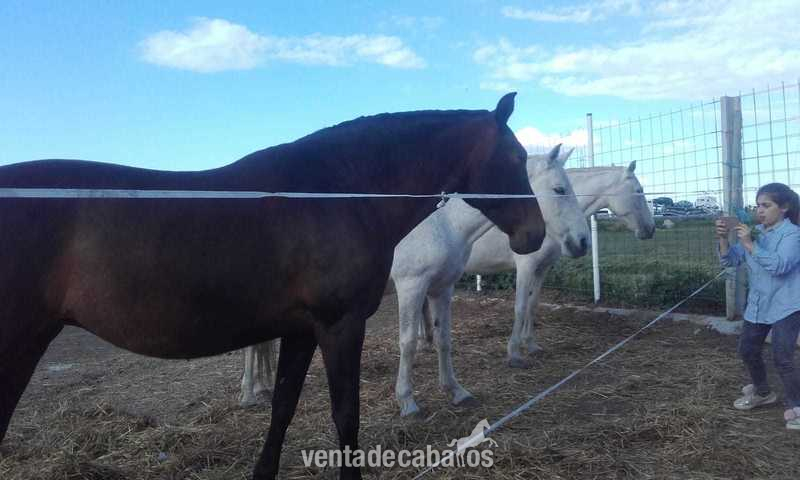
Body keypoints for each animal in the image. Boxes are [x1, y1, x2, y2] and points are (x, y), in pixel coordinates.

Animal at [0, 93, 546, 480]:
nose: (535, 234)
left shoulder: (301, 330)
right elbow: (346, 415)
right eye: (515, 156)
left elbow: (282, 407)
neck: (335, 194)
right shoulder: (339, 326)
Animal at [461, 162, 656, 368]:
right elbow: (520, 307)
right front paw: (514, 353)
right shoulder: (526, 267)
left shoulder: (542, 268)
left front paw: (531, 344)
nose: (651, 229)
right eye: (639, 190)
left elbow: (532, 305)